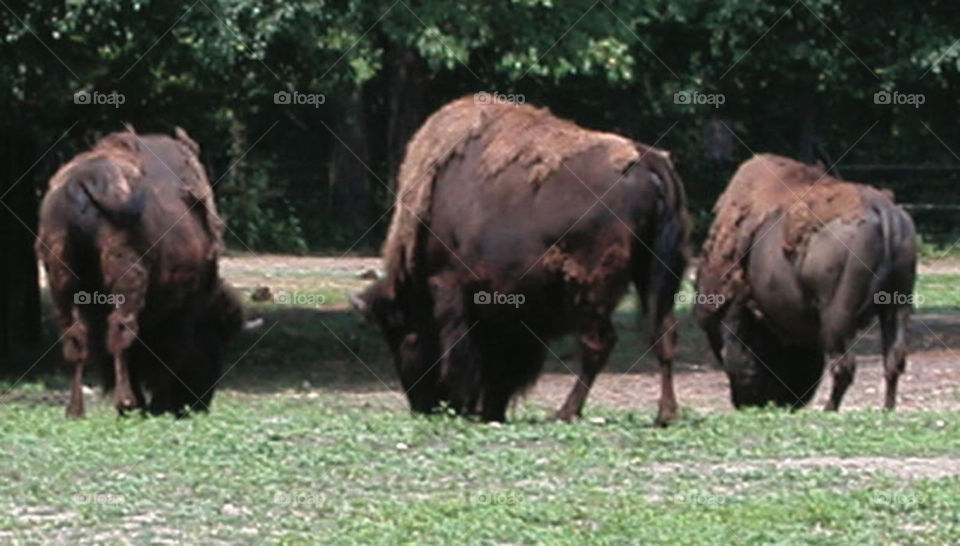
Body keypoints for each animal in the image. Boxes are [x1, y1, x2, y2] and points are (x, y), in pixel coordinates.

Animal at [36, 127, 243, 417]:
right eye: (214, 343)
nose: (200, 404)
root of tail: (86, 179)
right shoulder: (183, 310)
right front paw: (157, 404)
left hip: (61, 279)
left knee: (76, 339)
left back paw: (76, 410)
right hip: (126, 278)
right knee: (121, 333)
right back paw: (126, 402)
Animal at [357, 96, 689, 423]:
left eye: (402, 335)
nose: (421, 406)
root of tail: (648, 160)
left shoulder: (451, 287)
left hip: (592, 288)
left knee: (598, 344)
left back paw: (565, 412)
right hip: (653, 278)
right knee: (664, 335)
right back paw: (665, 414)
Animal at [696, 154, 917, 410]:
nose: (787, 401)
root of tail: (882, 211)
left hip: (837, 318)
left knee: (844, 366)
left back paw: (829, 409)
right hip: (897, 305)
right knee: (893, 359)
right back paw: (887, 408)